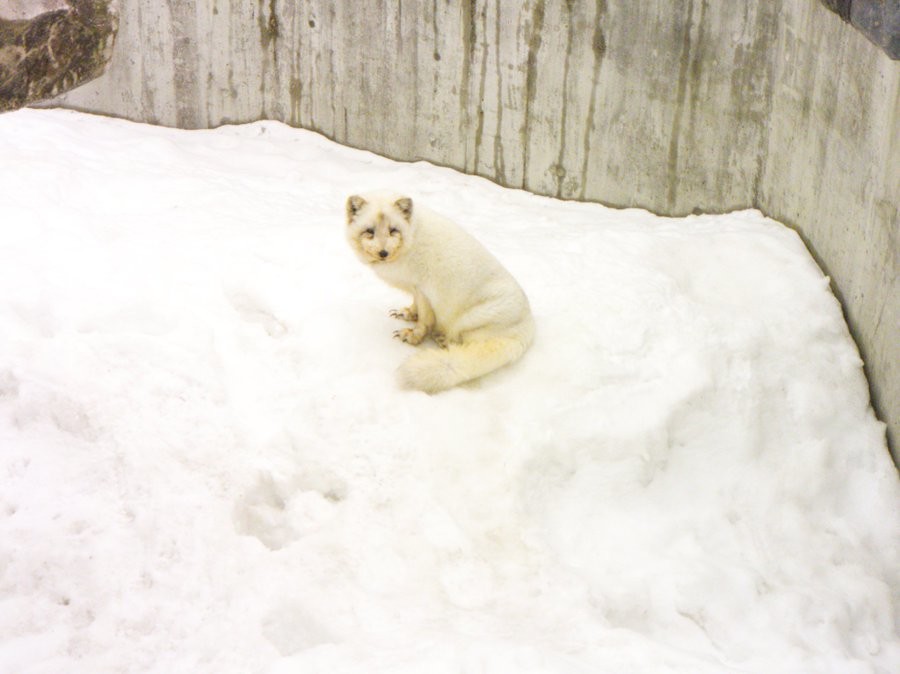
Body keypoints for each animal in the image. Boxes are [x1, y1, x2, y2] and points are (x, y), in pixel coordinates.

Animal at [346, 189, 536, 392]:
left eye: (393, 230)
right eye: (369, 231)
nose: (383, 253)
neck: (411, 239)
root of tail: (527, 328)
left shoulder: (424, 291)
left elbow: (424, 320)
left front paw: (414, 336)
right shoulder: (415, 287)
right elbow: (415, 307)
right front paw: (408, 314)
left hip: (470, 320)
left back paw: (446, 341)